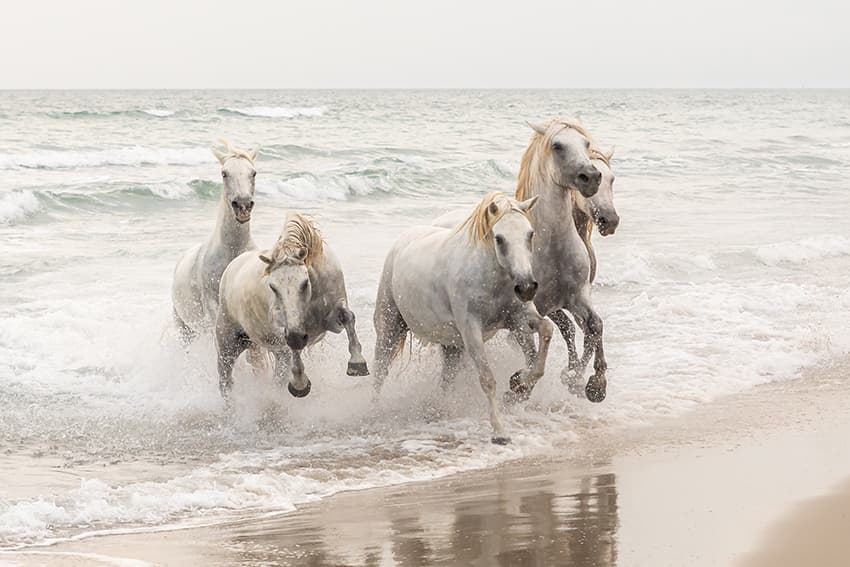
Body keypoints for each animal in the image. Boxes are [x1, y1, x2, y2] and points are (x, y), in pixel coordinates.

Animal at [216, 212, 369, 400]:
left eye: (304, 282)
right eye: (273, 287)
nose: (297, 337)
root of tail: (232, 267)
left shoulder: (332, 320)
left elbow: (348, 317)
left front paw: (357, 362)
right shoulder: (285, 329)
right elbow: (292, 349)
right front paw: (300, 384)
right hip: (227, 346)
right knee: (226, 382)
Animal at [373, 192, 553, 444]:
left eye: (530, 234)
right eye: (499, 238)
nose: (526, 287)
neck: (490, 277)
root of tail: (401, 241)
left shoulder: (517, 319)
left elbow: (545, 333)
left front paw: (518, 384)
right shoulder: (471, 330)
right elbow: (487, 379)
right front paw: (500, 431)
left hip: (452, 346)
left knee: (446, 380)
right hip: (389, 327)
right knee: (380, 370)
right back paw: (373, 413)